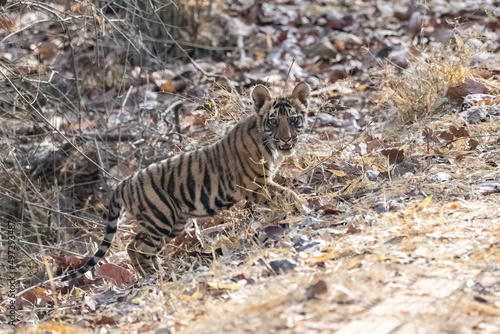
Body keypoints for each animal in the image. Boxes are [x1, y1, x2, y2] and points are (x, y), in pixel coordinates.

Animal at [63, 81, 308, 280]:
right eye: (273, 121)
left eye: (293, 119)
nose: (287, 139)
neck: (270, 146)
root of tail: (124, 183)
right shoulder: (256, 185)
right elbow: (287, 193)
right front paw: (302, 206)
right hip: (159, 218)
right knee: (136, 247)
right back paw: (153, 276)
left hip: (173, 222)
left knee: (144, 248)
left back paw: (160, 271)